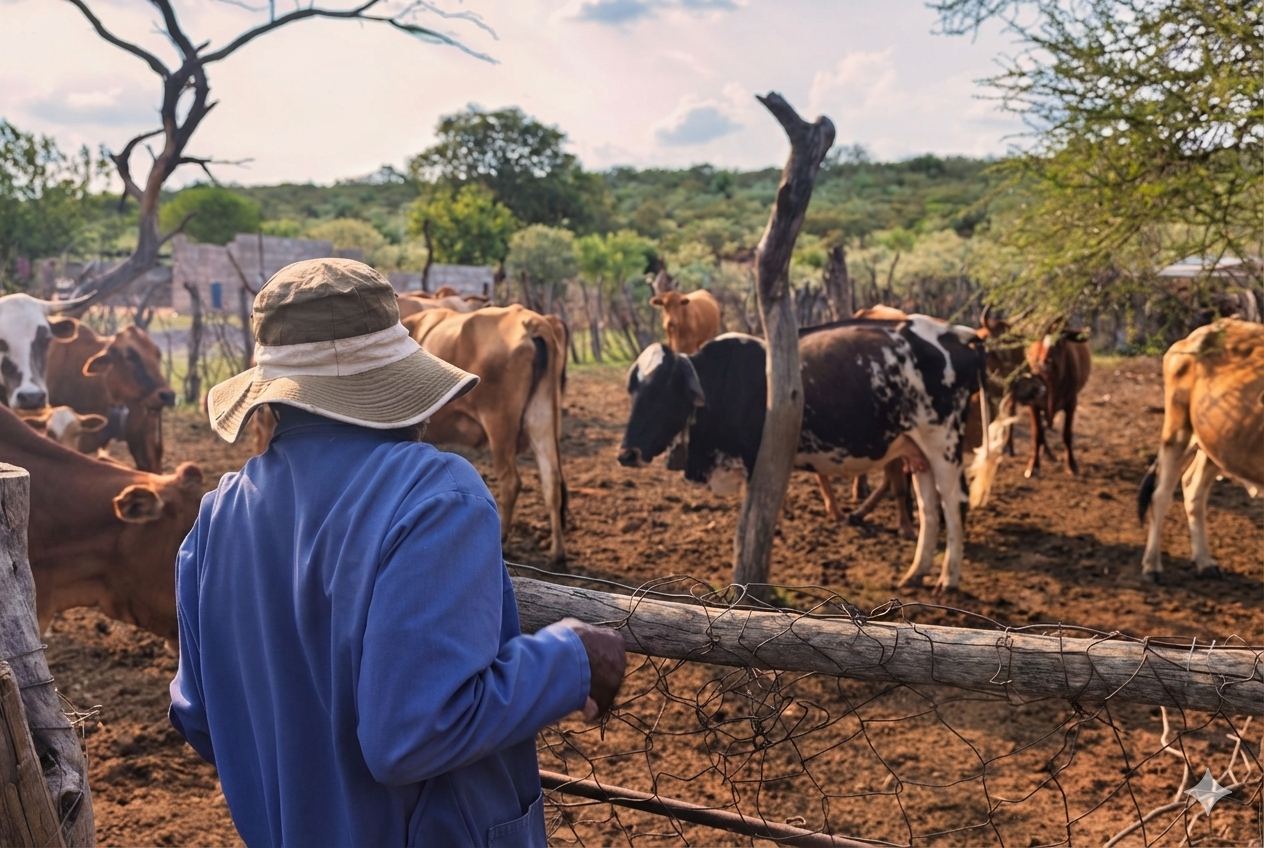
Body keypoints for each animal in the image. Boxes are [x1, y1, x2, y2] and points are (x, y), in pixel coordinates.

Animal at [618, 317, 990, 592]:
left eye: (664, 390)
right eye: (633, 390)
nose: (626, 454)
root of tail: (954, 332)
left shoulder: (757, 463)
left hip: (943, 441)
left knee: (952, 501)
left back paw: (948, 579)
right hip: (917, 449)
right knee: (928, 506)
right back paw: (915, 573)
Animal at [1022, 326, 1092, 477]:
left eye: (1060, 341)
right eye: (1038, 336)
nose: (1044, 362)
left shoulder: (1072, 403)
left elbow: (1067, 434)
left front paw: (1072, 464)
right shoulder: (1033, 404)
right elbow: (1037, 434)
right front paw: (1034, 465)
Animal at [1138, 318, 1263, 583]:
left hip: (1215, 444)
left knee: (1192, 488)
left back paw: (1204, 561)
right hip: (1177, 430)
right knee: (1160, 494)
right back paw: (1152, 566)